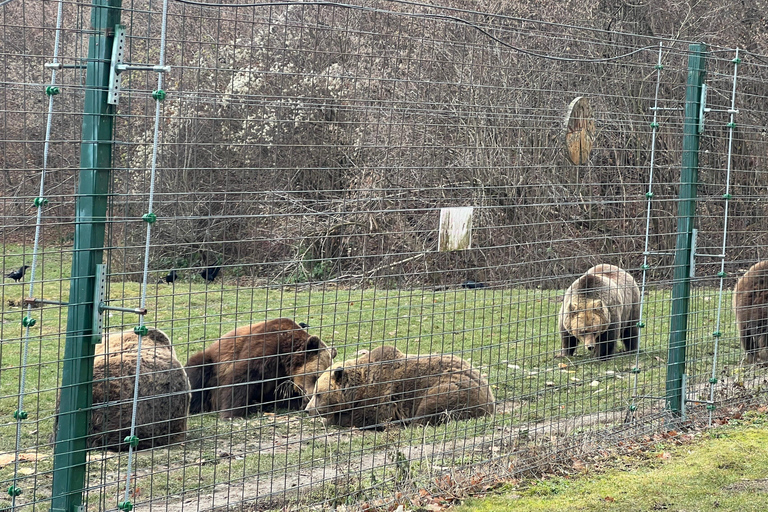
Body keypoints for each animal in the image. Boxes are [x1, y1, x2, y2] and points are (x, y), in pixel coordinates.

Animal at [185, 318, 336, 419]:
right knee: (198, 372)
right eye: (316, 376)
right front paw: (231, 413)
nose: (310, 396)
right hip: (213, 364)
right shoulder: (264, 348)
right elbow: (242, 378)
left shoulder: (282, 378)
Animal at [304, 345, 495, 428]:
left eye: (318, 394)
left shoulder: (380, 397)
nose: (307, 410)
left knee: (433, 403)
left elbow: (363, 417)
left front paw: (330, 419)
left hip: (452, 386)